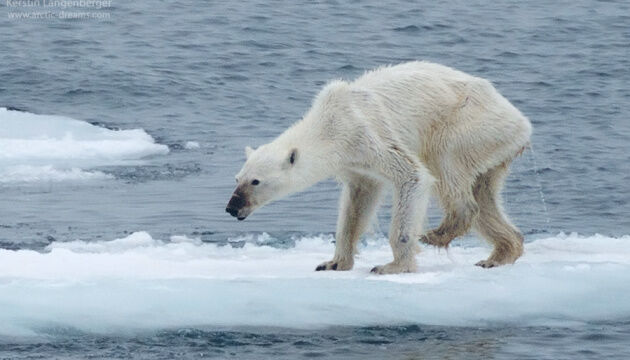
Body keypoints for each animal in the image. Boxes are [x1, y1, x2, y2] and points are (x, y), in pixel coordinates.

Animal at [227, 62, 532, 274]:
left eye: (255, 181)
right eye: (237, 178)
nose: (232, 207)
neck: (329, 124)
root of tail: (522, 122)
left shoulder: (366, 134)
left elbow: (412, 175)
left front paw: (393, 266)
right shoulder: (355, 163)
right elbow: (357, 203)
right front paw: (333, 263)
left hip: (469, 124)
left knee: (447, 164)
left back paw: (438, 233)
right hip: (493, 147)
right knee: (485, 194)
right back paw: (500, 254)